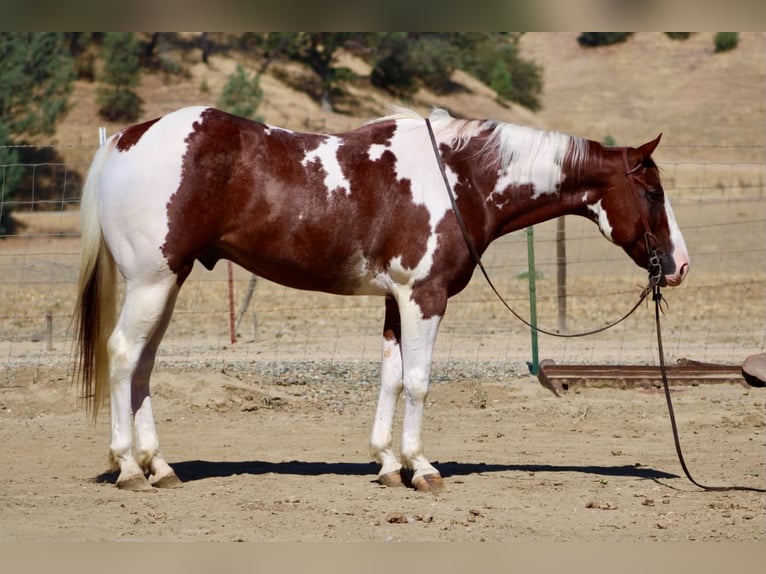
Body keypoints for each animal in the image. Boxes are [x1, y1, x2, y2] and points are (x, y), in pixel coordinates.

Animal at [74, 106, 689, 492]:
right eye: (653, 191)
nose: (679, 265)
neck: (460, 178)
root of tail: (126, 139)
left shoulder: (398, 301)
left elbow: (391, 378)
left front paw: (389, 465)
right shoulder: (425, 296)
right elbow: (418, 381)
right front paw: (422, 468)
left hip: (165, 283)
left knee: (143, 365)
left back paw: (160, 466)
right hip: (152, 282)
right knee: (124, 355)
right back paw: (129, 468)